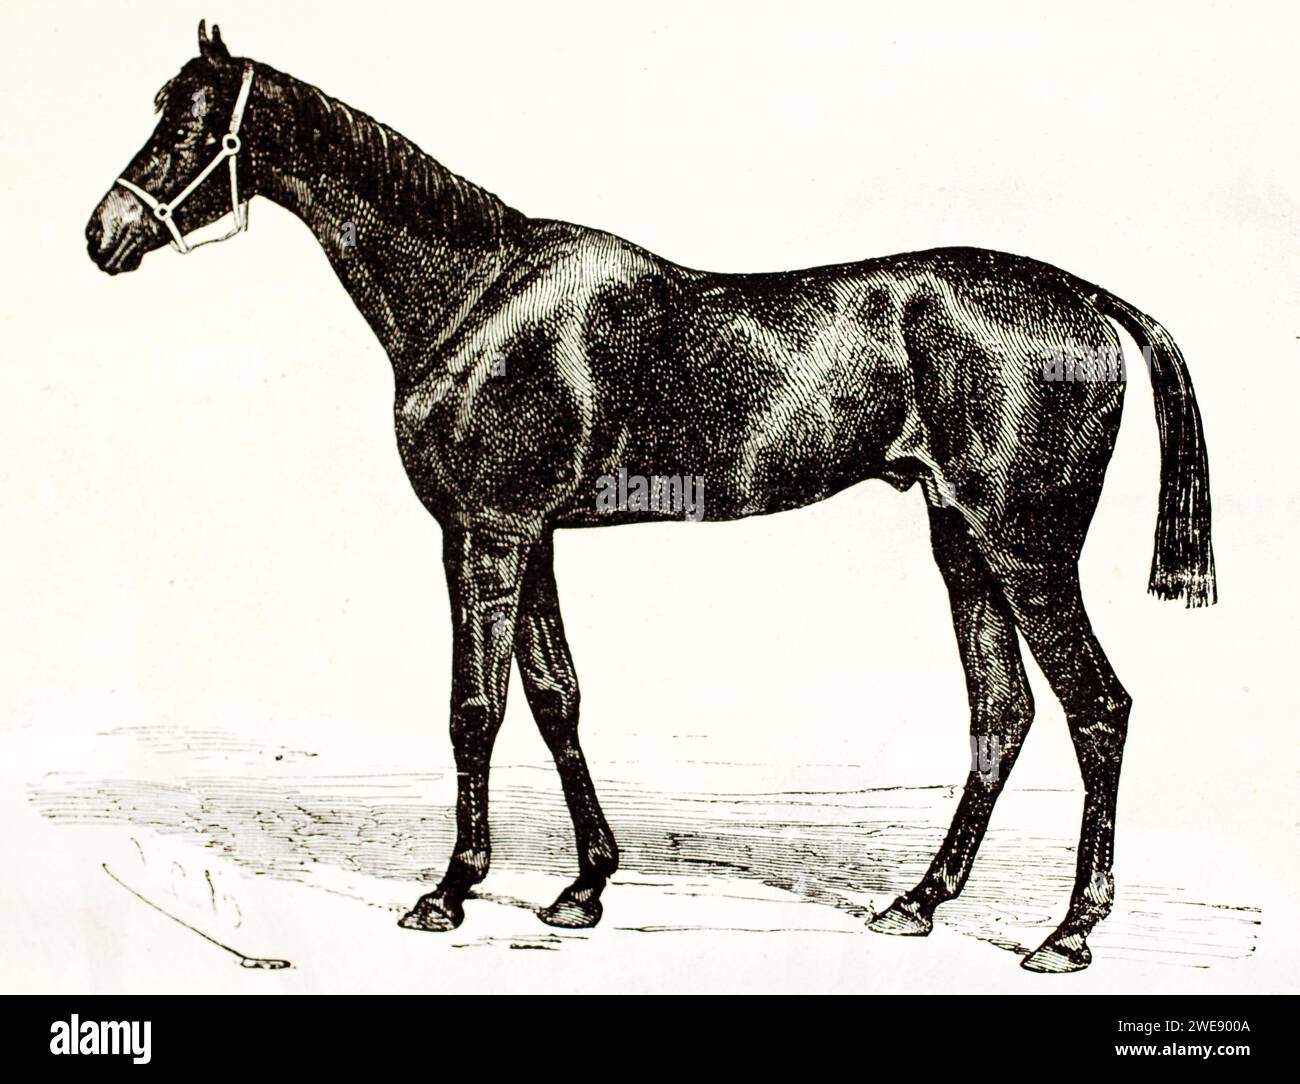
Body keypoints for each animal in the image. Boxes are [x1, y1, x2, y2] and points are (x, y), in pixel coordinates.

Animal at [86, 23, 1215, 973]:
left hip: (1026, 549)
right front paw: (584, 886)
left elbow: (474, 707)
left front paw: (450, 891)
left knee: (1096, 708)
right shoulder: (531, 535)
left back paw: (1067, 933)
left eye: (189, 123)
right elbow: (556, 698)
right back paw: (919, 901)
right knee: (1003, 711)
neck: (475, 298)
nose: (103, 234)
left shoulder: (486, 534)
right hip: (962, 541)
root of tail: (1086, 299)